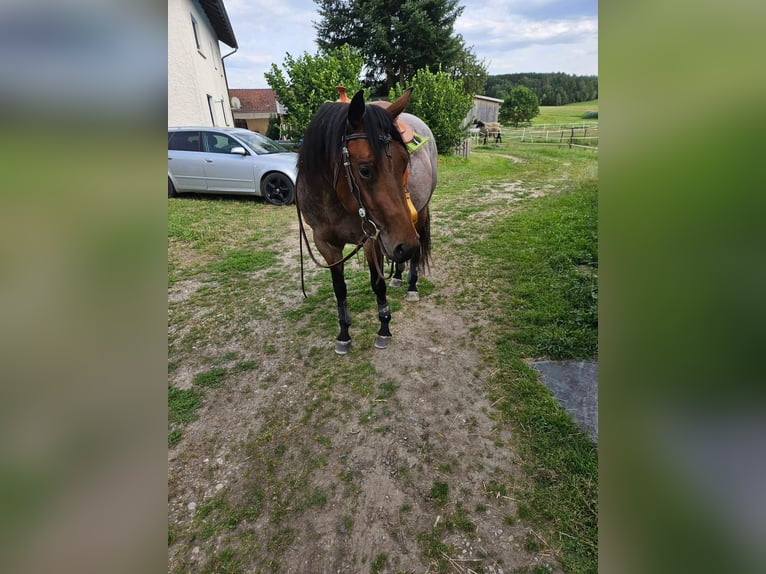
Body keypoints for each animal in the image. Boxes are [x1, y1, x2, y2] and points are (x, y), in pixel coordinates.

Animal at [296, 89, 437, 354]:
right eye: (364, 169)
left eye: (405, 163)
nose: (405, 245)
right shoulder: (325, 243)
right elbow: (339, 288)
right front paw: (343, 334)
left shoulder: (372, 239)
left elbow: (377, 283)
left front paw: (384, 329)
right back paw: (398, 275)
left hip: (418, 215)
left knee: (417, 248)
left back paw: (411, 286)